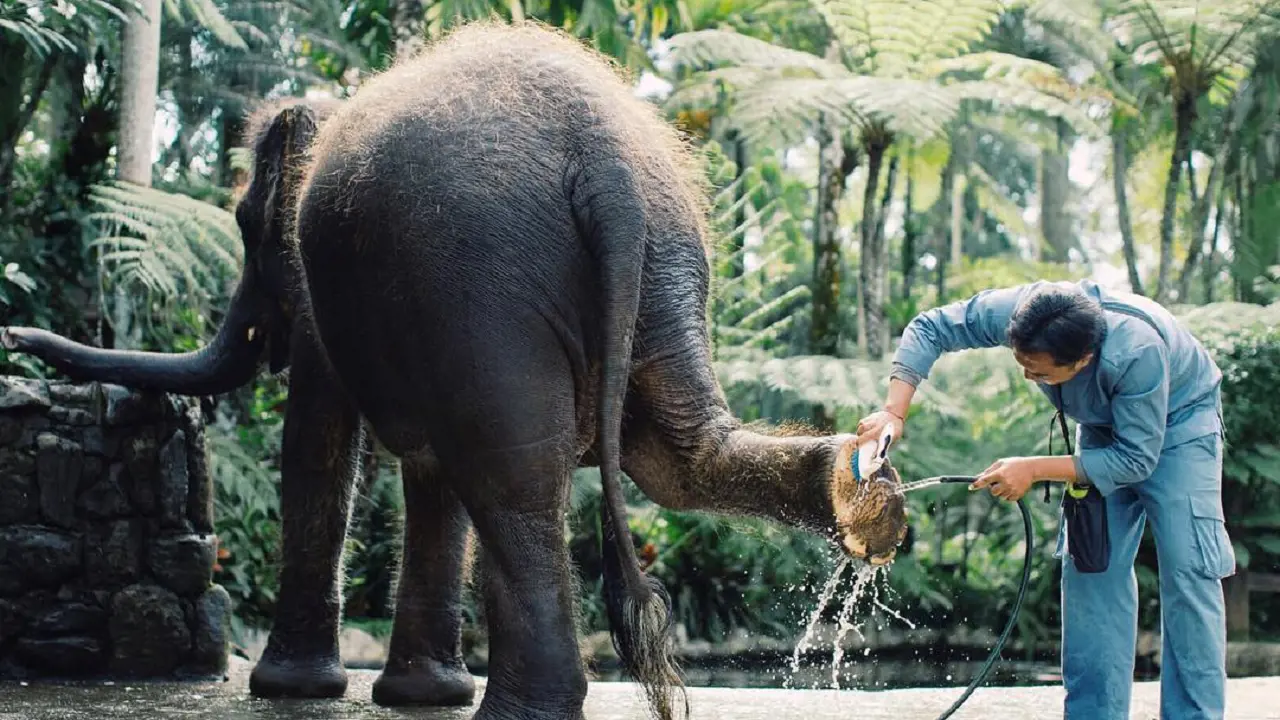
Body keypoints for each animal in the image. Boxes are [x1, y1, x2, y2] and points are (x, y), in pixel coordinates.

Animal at [1, 20, 908, 720]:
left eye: (244, 224)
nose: (18, 336)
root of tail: (605, 161)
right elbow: (427, 467)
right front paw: (420, 697)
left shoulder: (324, 283)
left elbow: (321, 443)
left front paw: (290, 689)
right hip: (664, 267)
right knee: (666, 457)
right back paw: (860, 487)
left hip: (482, 282)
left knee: (513, 479)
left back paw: (520, 713)